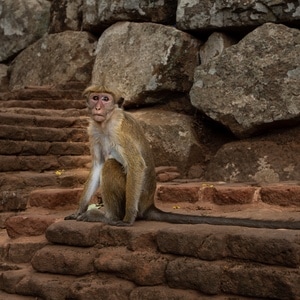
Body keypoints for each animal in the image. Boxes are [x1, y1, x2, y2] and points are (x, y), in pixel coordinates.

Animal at [65, 85, 300, 230]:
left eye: (106, 99)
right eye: (95, 97)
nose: (97, 107)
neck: (105, 123)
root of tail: (149, 204)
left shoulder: (119, 131)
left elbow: (136, 165)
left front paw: (128, 219)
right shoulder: (93, 131)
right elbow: (97, 165)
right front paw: (79, 210)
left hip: (138, 199)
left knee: (112, 165)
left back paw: (111, 217)